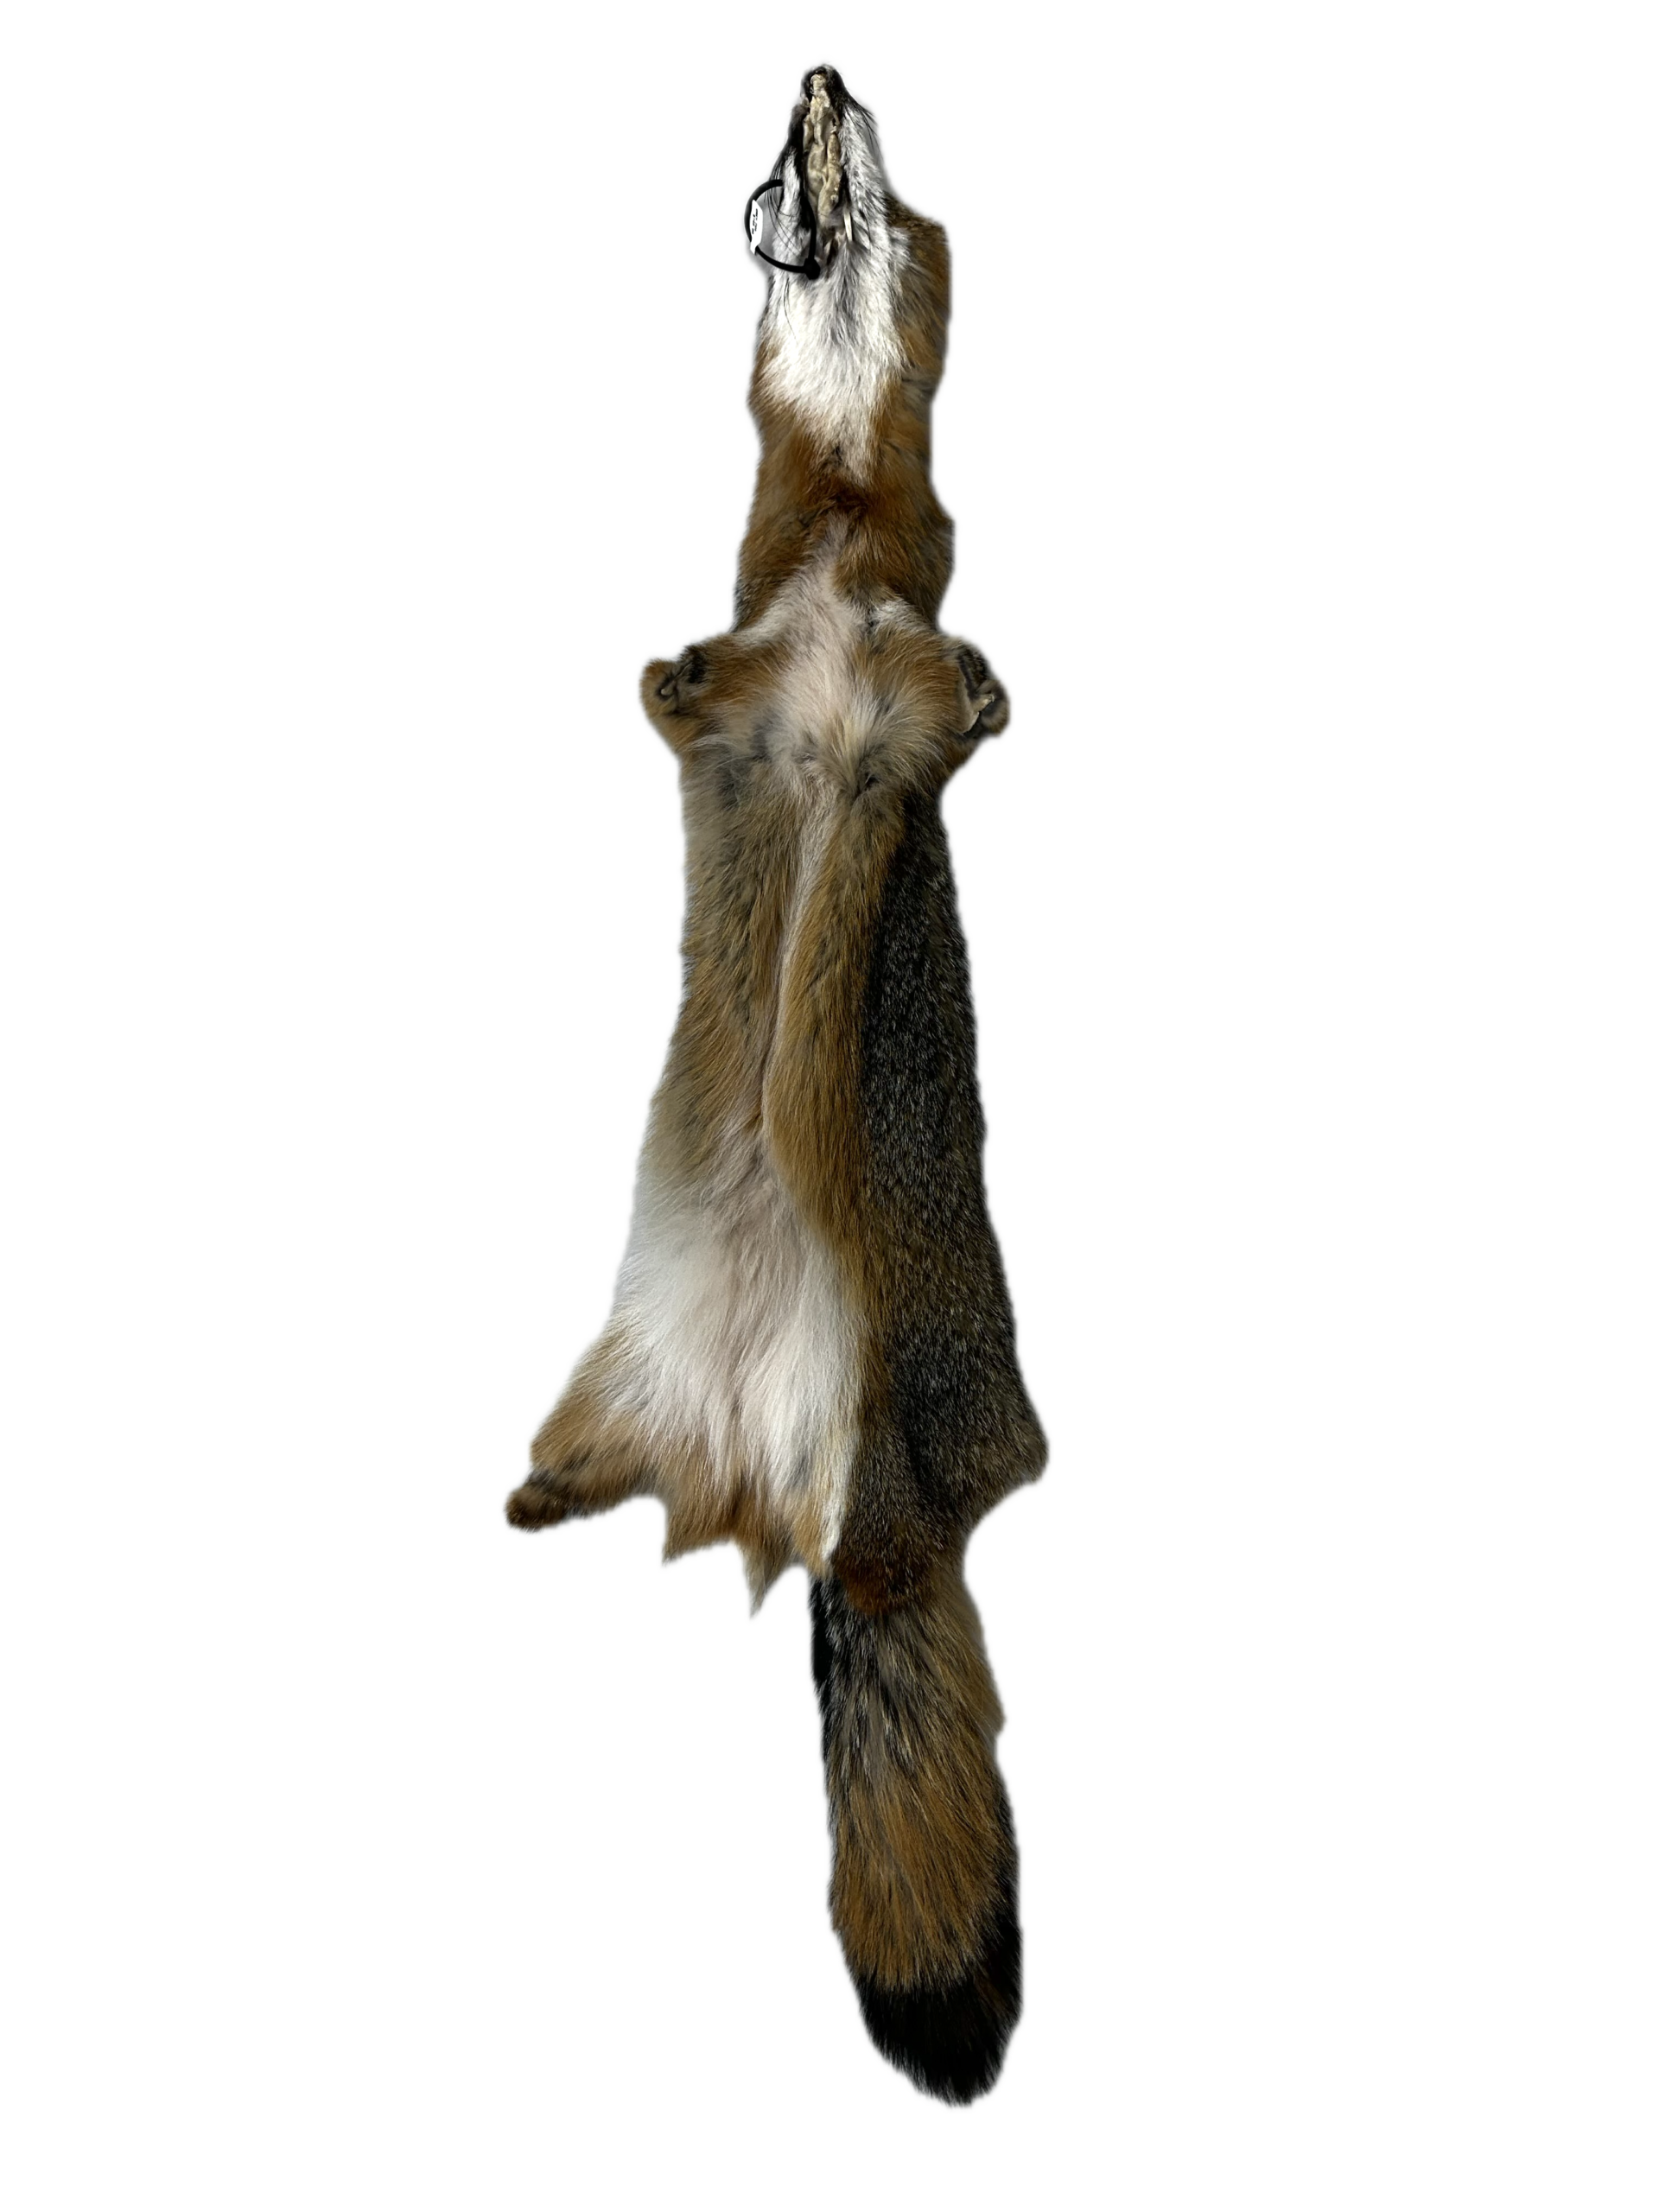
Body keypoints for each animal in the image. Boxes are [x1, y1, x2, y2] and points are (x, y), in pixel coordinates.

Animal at [500, 57, 1052, 2114]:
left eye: (873, 172)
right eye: (777, 152)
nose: (821, 74)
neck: (823, 586)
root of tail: (760, 1497)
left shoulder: (906, 695)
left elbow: (949, 681)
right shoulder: (710, 689)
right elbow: (671, 674)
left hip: (873, 1482)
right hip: (596, 1391)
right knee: (569, 1494)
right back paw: (546, 1505)